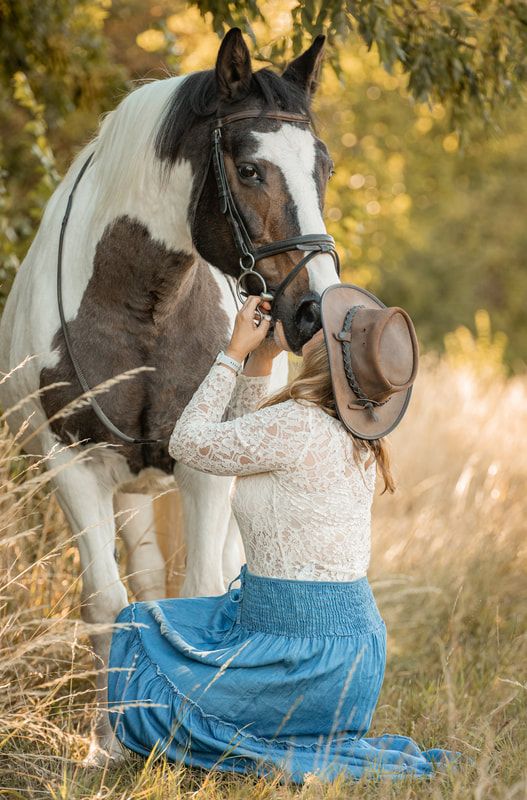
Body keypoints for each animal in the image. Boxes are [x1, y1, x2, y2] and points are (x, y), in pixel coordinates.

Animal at [0, 28, 340, 759]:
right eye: (249, 170)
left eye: (322, 167)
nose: (313, 311)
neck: (144, 308)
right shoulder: (73, 466)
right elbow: (106, 602)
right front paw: (107, 743)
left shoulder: (205, 471)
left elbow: (204, 588)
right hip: (127, 484)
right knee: (144, 581)